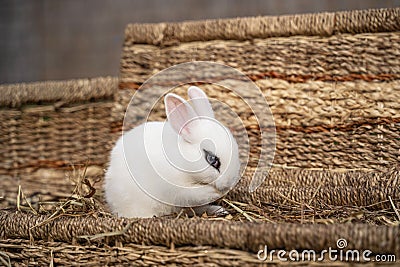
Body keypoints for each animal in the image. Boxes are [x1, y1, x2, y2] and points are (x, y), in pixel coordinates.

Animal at [104, 87, 241, 219]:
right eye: (212, 159)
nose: (228, 184)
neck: (183, 162)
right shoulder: (178, 190)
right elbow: (197, 194)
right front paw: (214, 193)